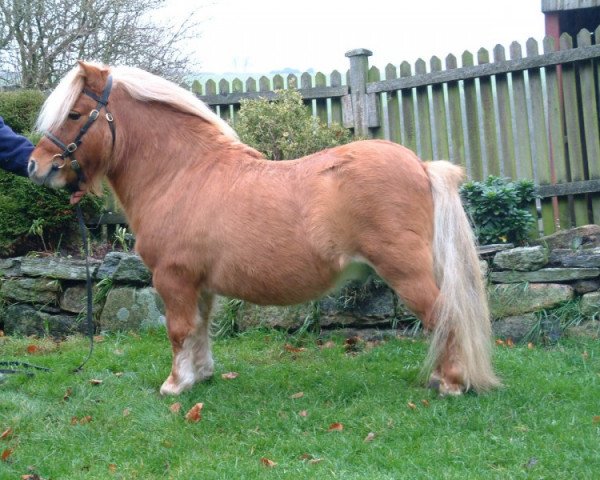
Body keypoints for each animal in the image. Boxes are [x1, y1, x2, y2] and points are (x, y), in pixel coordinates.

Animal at [28, 62, 500, 396]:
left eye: (75, 113)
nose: (35, 166)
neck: (180, 173)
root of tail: (421, 166)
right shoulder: (199, 284)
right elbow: (199, 328)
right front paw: (201, 376)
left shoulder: (173, 278)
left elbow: (178, 330)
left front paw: (175, 385)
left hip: (406, 272)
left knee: (444, 317)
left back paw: (451, 383)